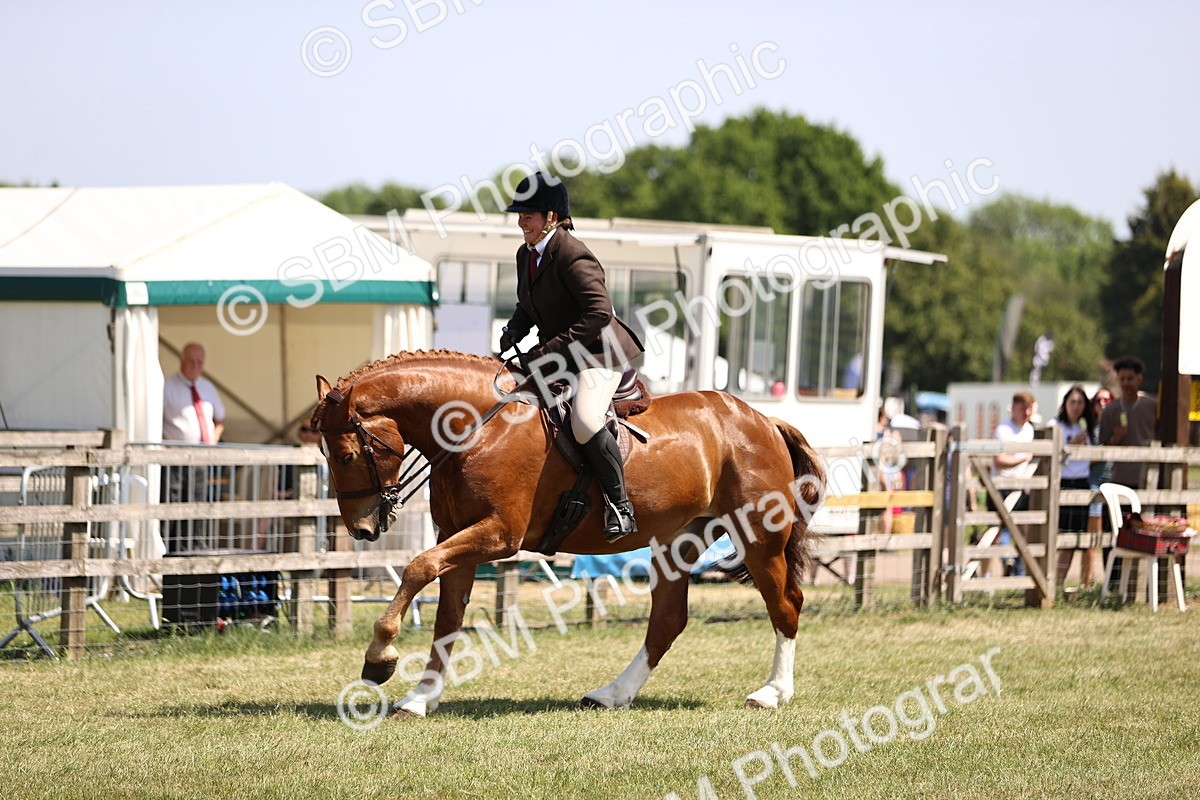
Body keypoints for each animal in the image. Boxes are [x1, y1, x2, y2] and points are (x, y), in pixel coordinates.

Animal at [311, 350, 826, 716]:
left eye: (346, 456)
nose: (360, 529)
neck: (477, 426)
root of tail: (761, 419)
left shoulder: (498, 535)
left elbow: (418, 568)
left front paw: (379, 658)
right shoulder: (459, 536)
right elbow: (446, 617)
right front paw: (420, 698)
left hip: (757, 536)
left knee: (785, 604)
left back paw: (772, 693)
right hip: (678, 540)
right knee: (667, 622)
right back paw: (612, 694)